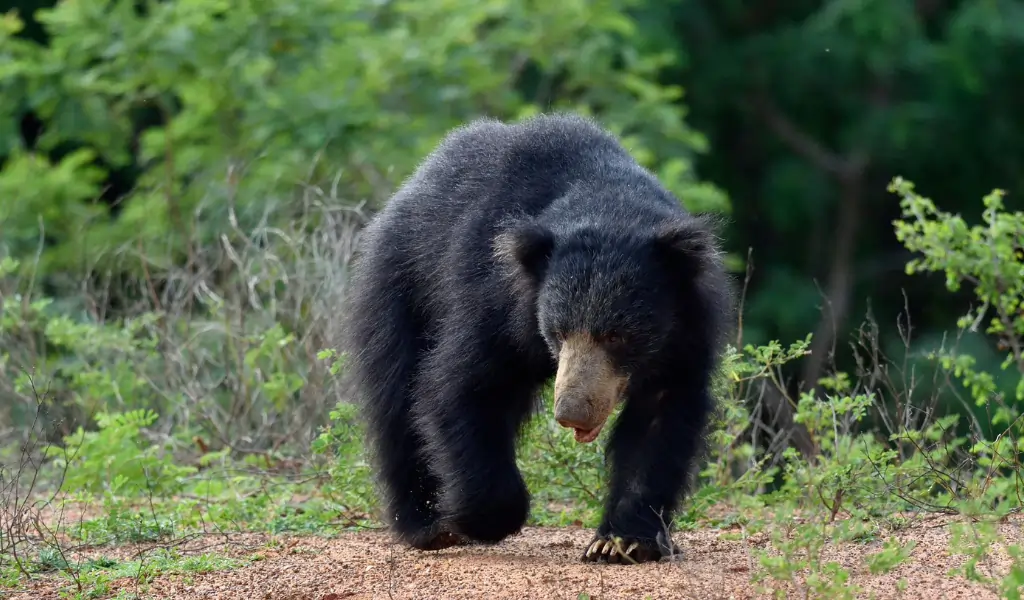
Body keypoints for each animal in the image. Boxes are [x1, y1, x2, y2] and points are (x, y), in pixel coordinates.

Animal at [341, 112, 732, 564]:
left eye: (617, 336)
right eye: (558, 333)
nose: (572, 413)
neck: (608, 203)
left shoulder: (686, 330)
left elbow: (661, 419)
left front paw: (621, 542)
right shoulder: (496, 299)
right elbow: (461, 385)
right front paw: (475, 518)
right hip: (402, 288)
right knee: (396, 401)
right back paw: (426, 525)